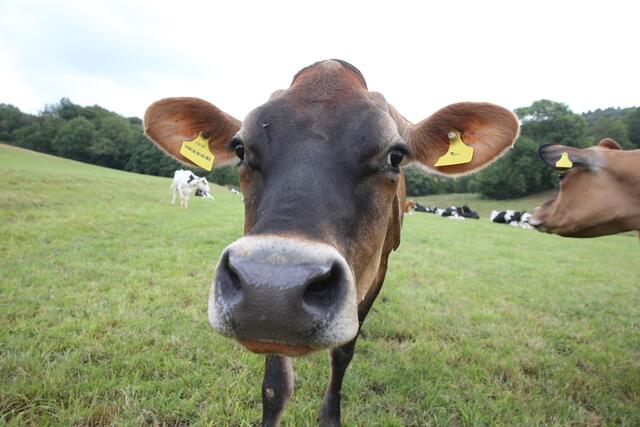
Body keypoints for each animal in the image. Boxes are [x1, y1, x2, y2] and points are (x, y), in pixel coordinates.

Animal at [143, 60, 519, 426]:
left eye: (396, 155)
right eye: (239, 148)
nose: (272, 286)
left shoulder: (376, 270)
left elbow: (343, 352)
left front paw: (330, 416)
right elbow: (275, 382)